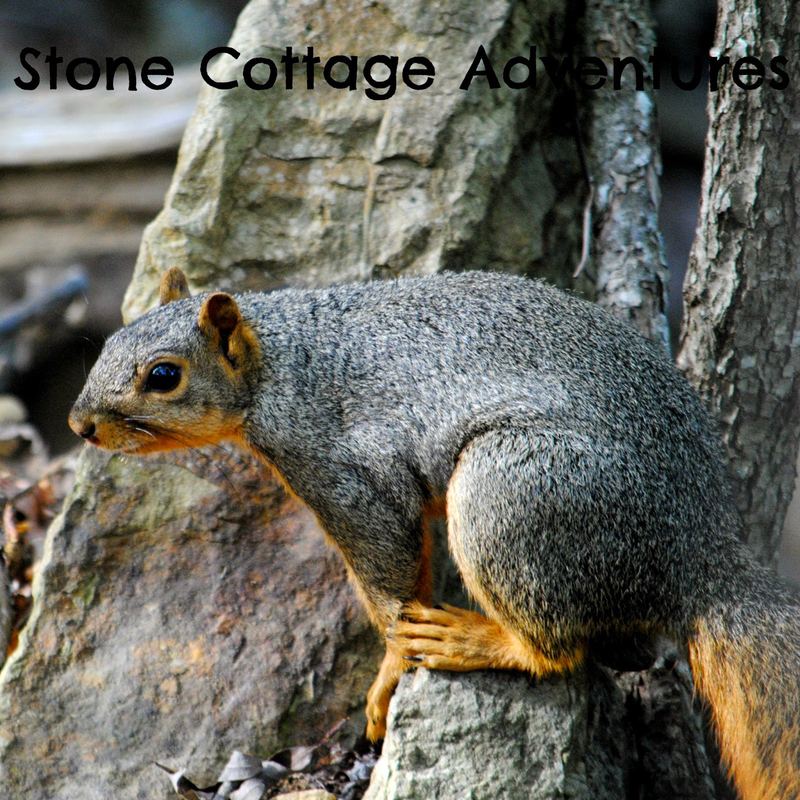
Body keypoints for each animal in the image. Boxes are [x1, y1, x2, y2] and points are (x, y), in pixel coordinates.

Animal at [69, 267, 800, 799]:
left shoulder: (346, 474)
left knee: (555, 651)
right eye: (104, 346)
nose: (81, 424)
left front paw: (389, 675)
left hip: (514, 498)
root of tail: (702, 561)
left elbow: (391, 578)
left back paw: (471, 638)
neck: (281, 363)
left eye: (164, 376)